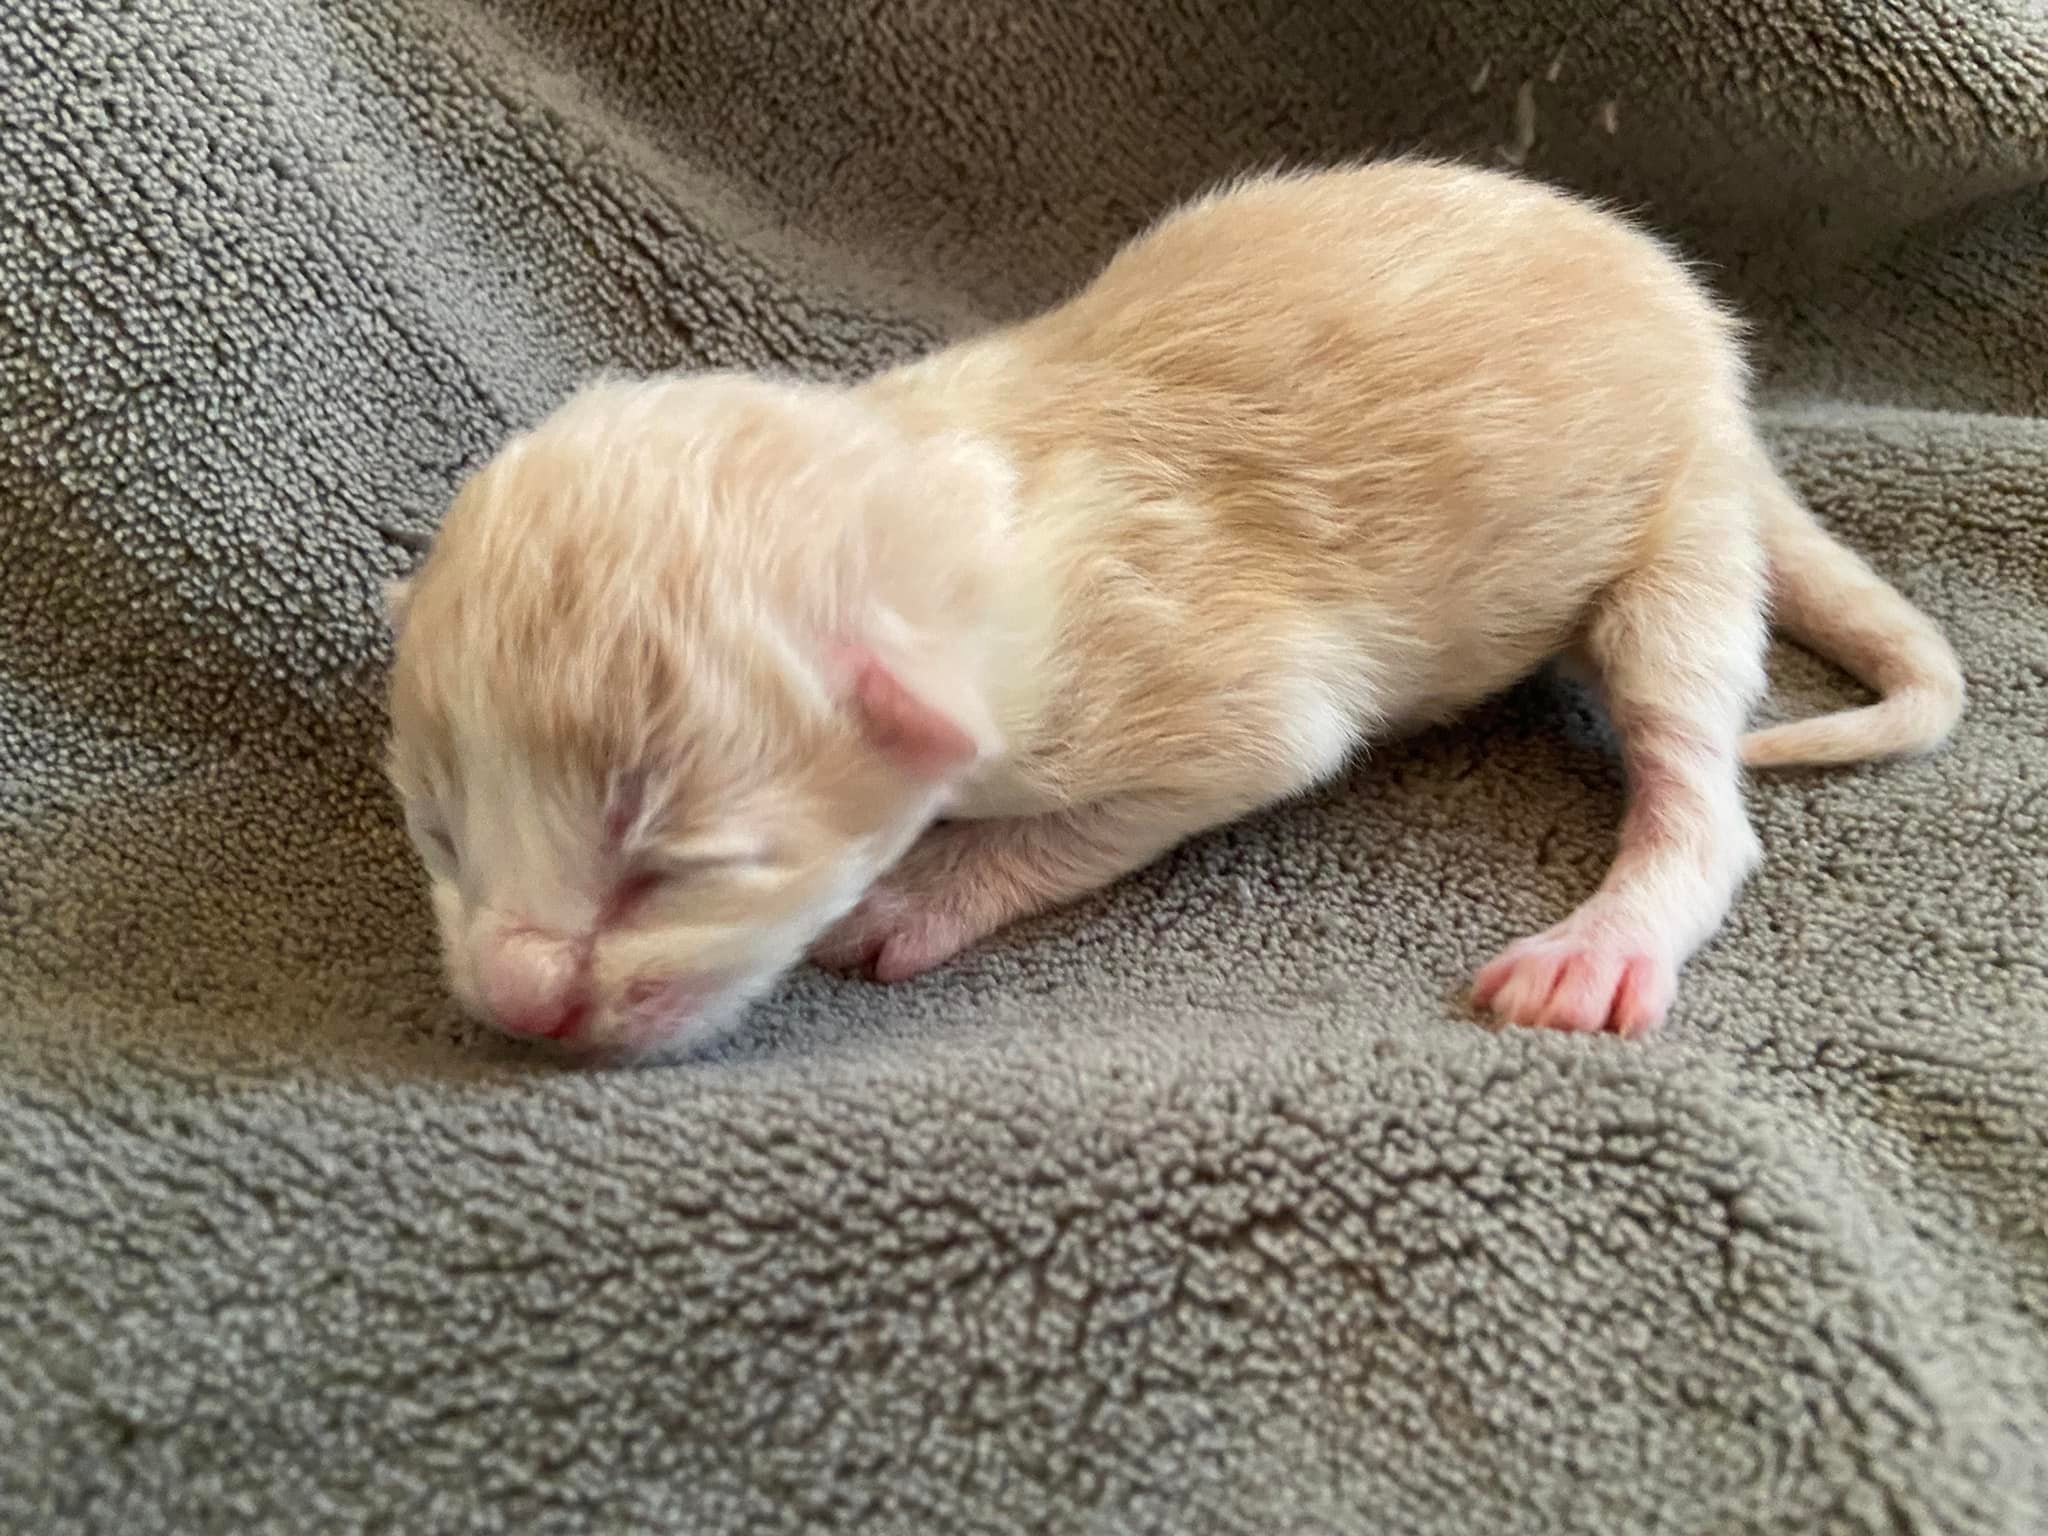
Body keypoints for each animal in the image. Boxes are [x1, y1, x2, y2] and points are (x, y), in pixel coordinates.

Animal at [384, 159, 1962, 1056]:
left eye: (672, 868)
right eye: (442, 836)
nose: (517, 1004)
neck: (961, 491)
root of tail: (1722, 376)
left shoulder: (1172, 686)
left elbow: (1191, 781)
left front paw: (918, 893)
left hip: (1673, 524)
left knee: (1690, 753)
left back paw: (1606, 942)